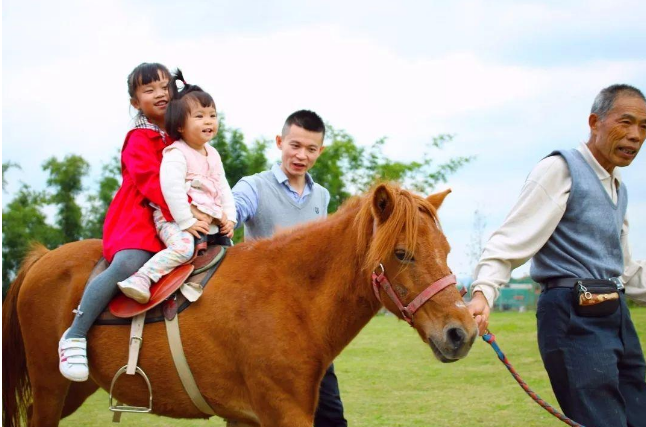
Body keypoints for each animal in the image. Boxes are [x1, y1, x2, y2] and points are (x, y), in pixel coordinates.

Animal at [3, 186, 480, 427]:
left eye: (446, 249)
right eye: (402, 253)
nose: (461, 332)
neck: (292, 296)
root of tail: (43, 259)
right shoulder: (284, 414)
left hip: (73, 389)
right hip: (50, 388)